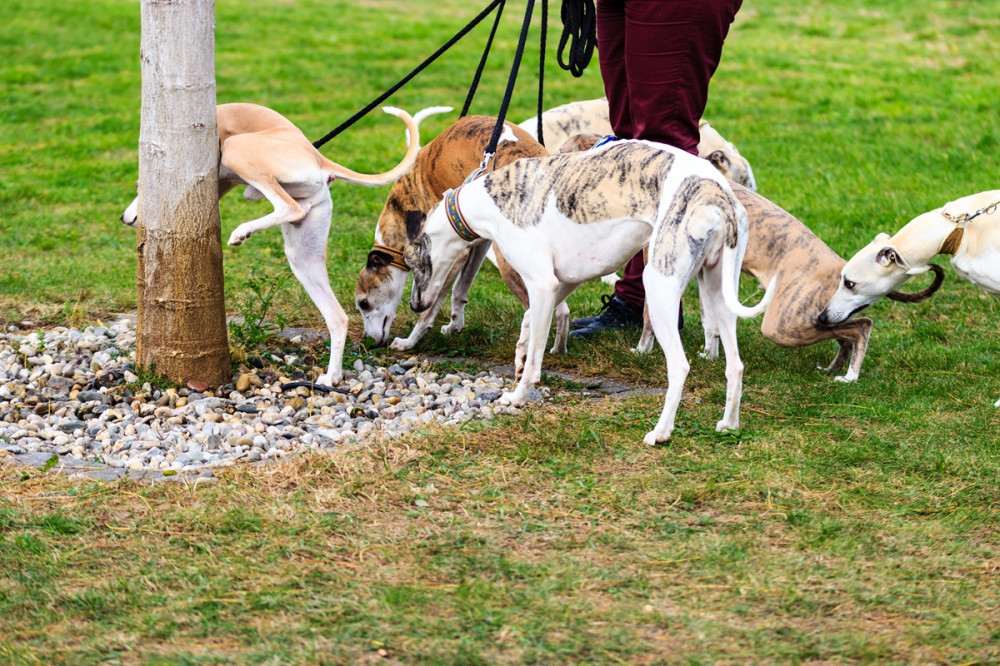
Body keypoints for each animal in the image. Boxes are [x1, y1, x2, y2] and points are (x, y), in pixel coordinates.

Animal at [122, 103, 430, 384]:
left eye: (140, 188)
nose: (124, 219)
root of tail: (320, 160)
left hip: (237, 149)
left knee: (289, 207)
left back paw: (242, 231)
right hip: (303, 256)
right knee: (338, 317)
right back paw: (332, 377)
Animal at [402, 140, 776, 444]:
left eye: (412, 262)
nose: (414, 305)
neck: (485, 201)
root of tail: (718, 196)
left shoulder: (543, 283)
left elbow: (536, 358)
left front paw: (520, 393)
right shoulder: (564, 282)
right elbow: (529, 326)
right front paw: (518, 362)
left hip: (660, 286)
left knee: (680, 366)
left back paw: (661, 432)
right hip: (717, 287)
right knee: (735, 365)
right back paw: (729, 424)